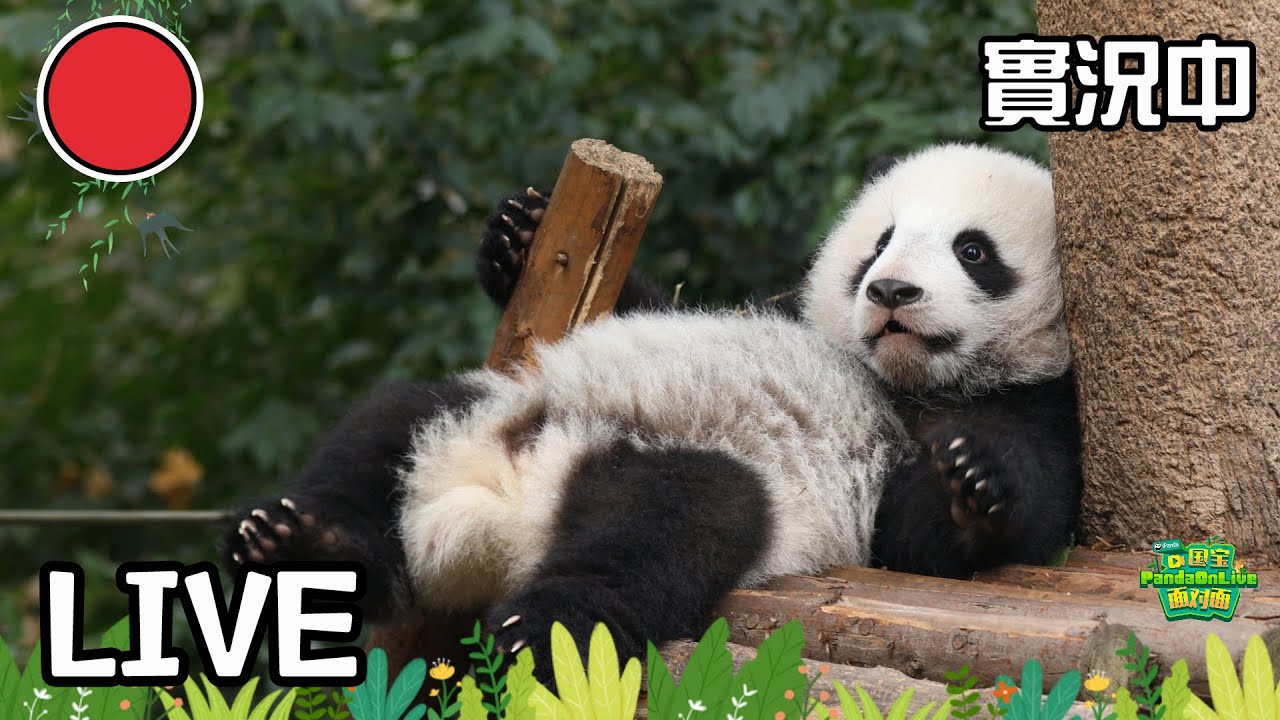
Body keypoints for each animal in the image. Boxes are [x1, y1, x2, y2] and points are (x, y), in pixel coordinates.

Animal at [221, 143, 1082, 679]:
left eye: (973, 251)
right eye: (880, 242)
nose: (891, 291)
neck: (901, 380)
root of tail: (501, 507)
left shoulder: (1030, 406)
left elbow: (927, 534)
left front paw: (970, 479)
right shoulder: (784, 315)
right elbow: (662, 304)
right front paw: (516, 234)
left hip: (711, 487)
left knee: (668, 530)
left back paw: (537, 629)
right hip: (483, 404)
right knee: (383, 426)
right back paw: (297, 541)